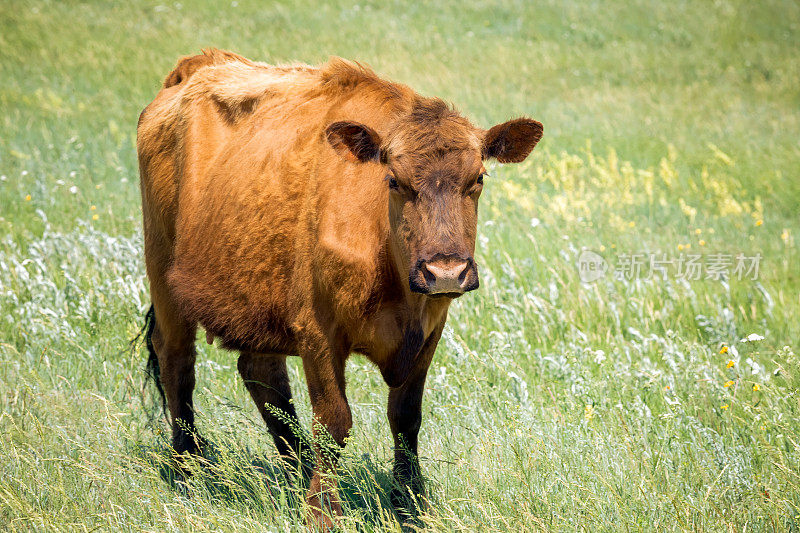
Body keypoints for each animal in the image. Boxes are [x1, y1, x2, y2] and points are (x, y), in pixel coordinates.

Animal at [136, 47, 544, 524]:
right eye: (394, 180)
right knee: (178, 364)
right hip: (163, 276)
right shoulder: (318, 331)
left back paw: (294, 472)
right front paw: (322, 511)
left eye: (477, 178)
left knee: (261, 373)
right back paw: (188, 470)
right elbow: (334, 422)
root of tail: (199, 65)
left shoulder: (429, 331)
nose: (445, 271)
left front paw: (411, 506)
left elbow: (406, 418)